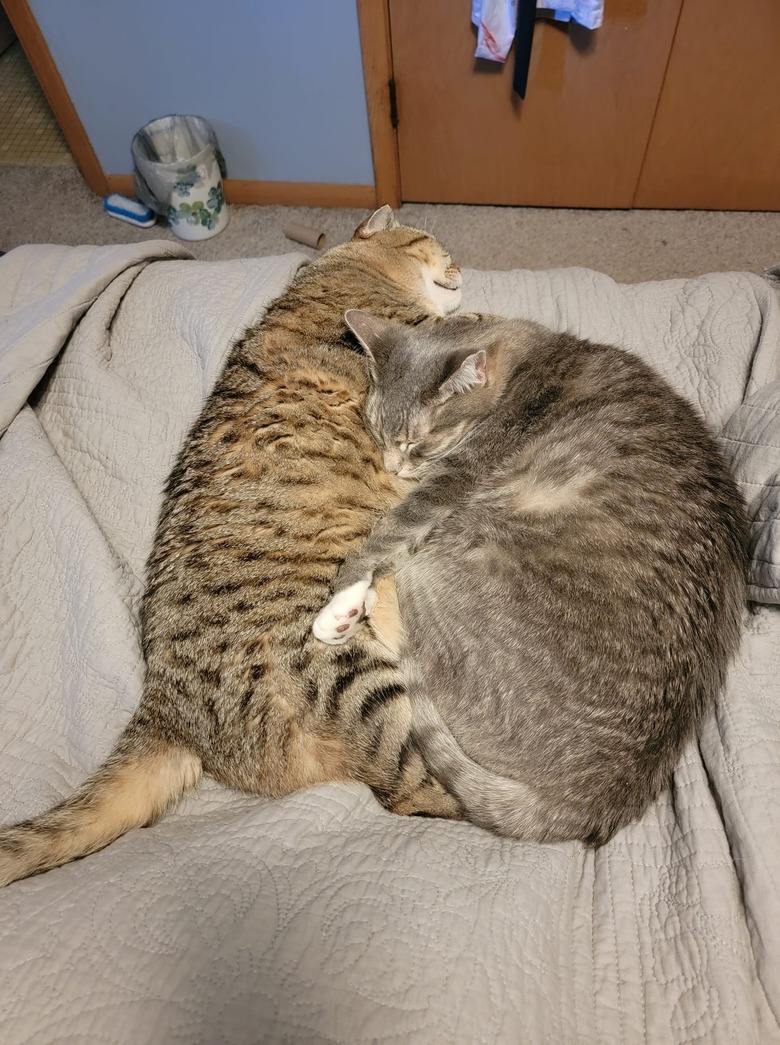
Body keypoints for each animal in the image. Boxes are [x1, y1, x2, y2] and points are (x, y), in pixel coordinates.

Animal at [0, 201, 462, 881]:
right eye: (431, 238)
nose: (460, 265)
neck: (341, 269)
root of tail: (164, 707)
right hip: (350, 674)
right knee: (416, 786)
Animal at [311, 309, 748, 848]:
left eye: (416, 441)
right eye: (375, 429)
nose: (393, 466)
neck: (525, 359)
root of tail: (592, 800)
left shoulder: (454, 480)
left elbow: (388, 530)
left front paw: (342, 596)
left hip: (460, 544)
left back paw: (358, 607)